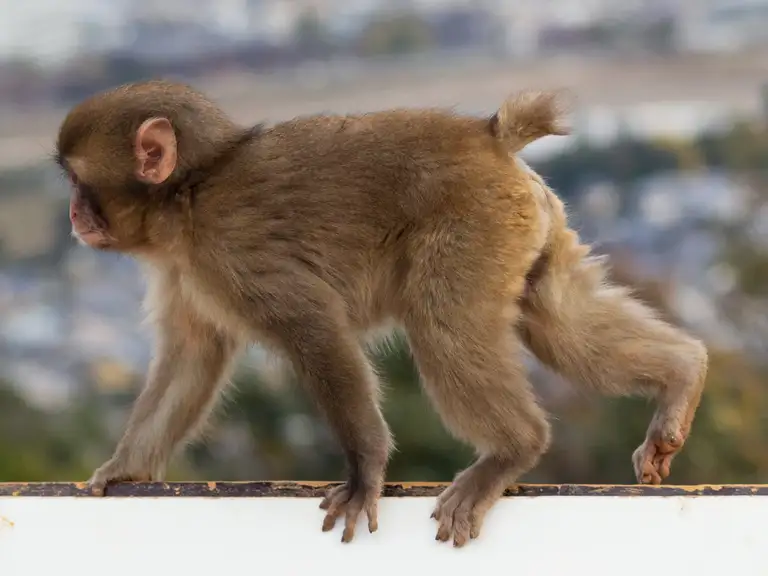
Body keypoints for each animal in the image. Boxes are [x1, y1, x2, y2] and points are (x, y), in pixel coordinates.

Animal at [55, 80, 707, 548]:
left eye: (78, 181)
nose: (72, 216)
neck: (188, 194)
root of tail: (493, 138)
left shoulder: (230, 248)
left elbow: (316, 329)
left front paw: (365, 474)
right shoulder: (184, 268)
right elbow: (192, 358)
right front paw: (125, 470)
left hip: (473, 224)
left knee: (442, 323)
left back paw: (512, 451)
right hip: (526, 226)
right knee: (558, 321)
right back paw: (684, 373)